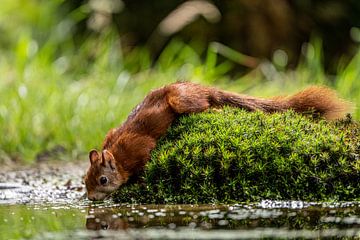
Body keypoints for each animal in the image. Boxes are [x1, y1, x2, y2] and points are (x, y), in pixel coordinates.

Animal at [84, 81, 352, 200]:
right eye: (85, 180)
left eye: (103, 180)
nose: (91, 198)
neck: (118, 156)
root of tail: (200, 87)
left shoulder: (139, 147)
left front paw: (138, 182)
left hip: (182, 102)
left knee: (204, 105)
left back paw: (213, 108)